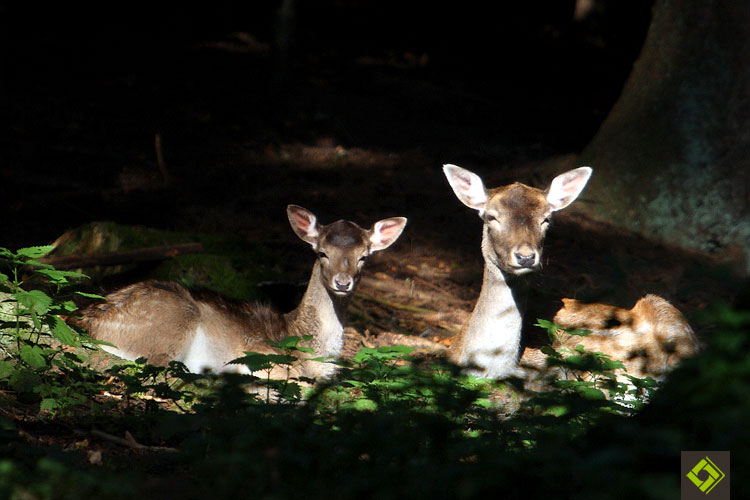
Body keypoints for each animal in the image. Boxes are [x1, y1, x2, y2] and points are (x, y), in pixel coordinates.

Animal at [81, 205, 407, 381]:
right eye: (322, 252)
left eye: (364, 257)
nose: (342, 282)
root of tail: (87, 323)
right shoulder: (265, 360)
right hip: (170, 325)